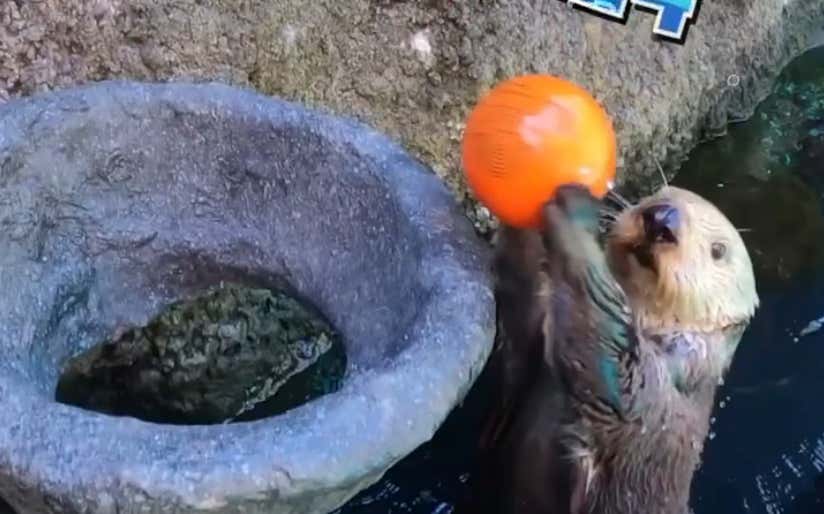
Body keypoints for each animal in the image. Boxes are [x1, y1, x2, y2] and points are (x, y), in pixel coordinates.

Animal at [461, 184, 758, 514]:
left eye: (718, 250)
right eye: (659, 194)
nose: (662, 219)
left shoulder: (654, 395)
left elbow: (615, 372)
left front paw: (574, 215)